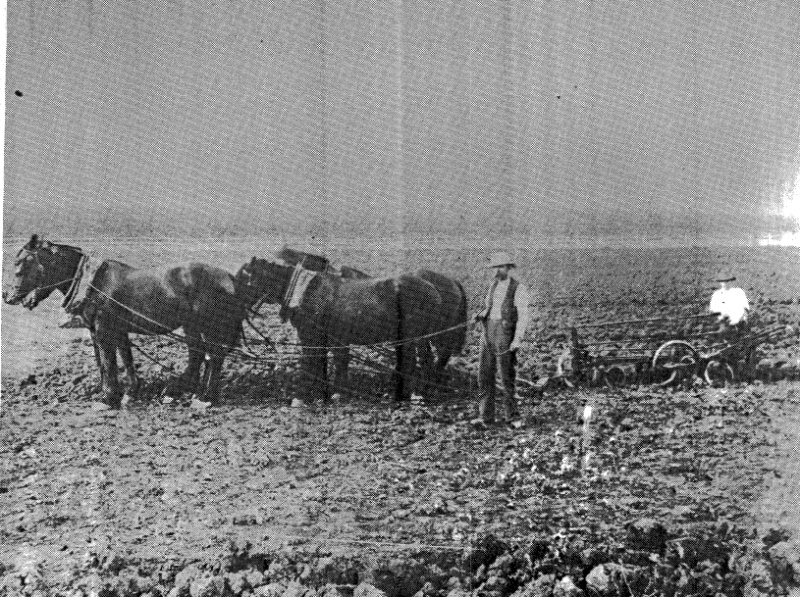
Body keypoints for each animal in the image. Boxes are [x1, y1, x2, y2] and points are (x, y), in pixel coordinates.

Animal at [3, 233, 253, 406]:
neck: (92, 283)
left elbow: (109, 362)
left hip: (210, 325)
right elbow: (120, 360)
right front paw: (129, 391)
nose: (8, 297)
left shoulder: (104, 331)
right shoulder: (109, 331)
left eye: (21, 265)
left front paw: (108, 398)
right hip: (191, 325)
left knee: (215, 355)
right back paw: (181, 390)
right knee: (198, 353)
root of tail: (230, 278)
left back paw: (206, 397)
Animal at [234, 256, 440, 400]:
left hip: (415, 336)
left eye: (243, 277)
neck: (304, 290)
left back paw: (412, 394)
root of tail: (432, 289)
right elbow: (327, 361)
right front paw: (326, 391)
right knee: (420, 361)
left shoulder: (312, 335)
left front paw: (308, 394)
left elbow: (315, 362)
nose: (233, 302)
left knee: (417, 362)